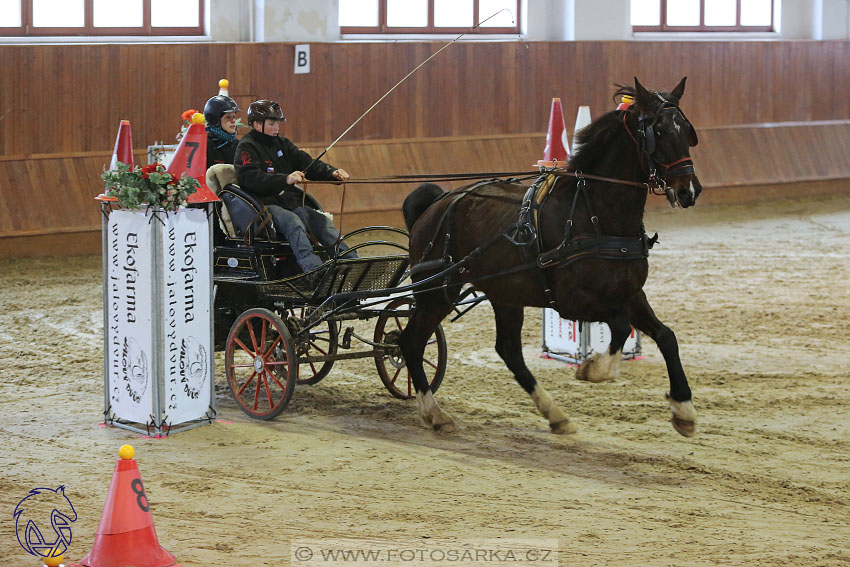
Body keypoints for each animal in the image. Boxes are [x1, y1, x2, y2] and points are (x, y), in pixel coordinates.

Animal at [400, 77, 700, 438]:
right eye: (658, 130)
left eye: (686, 130)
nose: (689, 190)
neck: (594, 214)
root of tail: (436, 203)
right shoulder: (572, 301)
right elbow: (619, 325)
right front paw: (594, 369)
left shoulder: (630, 293)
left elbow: (667, 337)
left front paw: (684, 409)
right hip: (437, 292)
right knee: (410, 342)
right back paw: (433, 412)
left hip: (505, 294)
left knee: (508, 350)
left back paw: (554, 413)